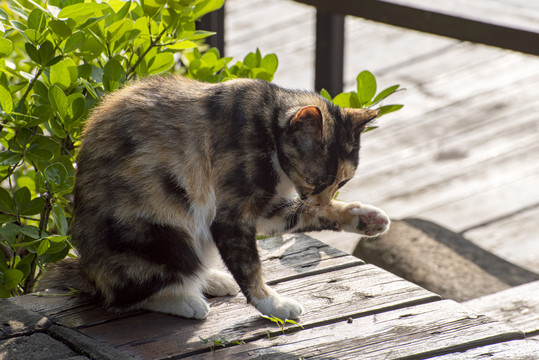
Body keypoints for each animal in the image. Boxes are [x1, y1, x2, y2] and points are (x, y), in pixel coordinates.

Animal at [39, 75, 392, 318]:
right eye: (315, 180)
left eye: (343, 181)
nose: (322, 199)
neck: (268, 123)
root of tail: (87, 271)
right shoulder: (231, 214)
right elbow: (249, 265)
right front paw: (271, 303)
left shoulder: (268, 211)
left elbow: (301, 216)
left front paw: (366, 218)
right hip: (160, 234)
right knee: (127, 294)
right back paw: (186, 300)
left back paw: (211, 280)